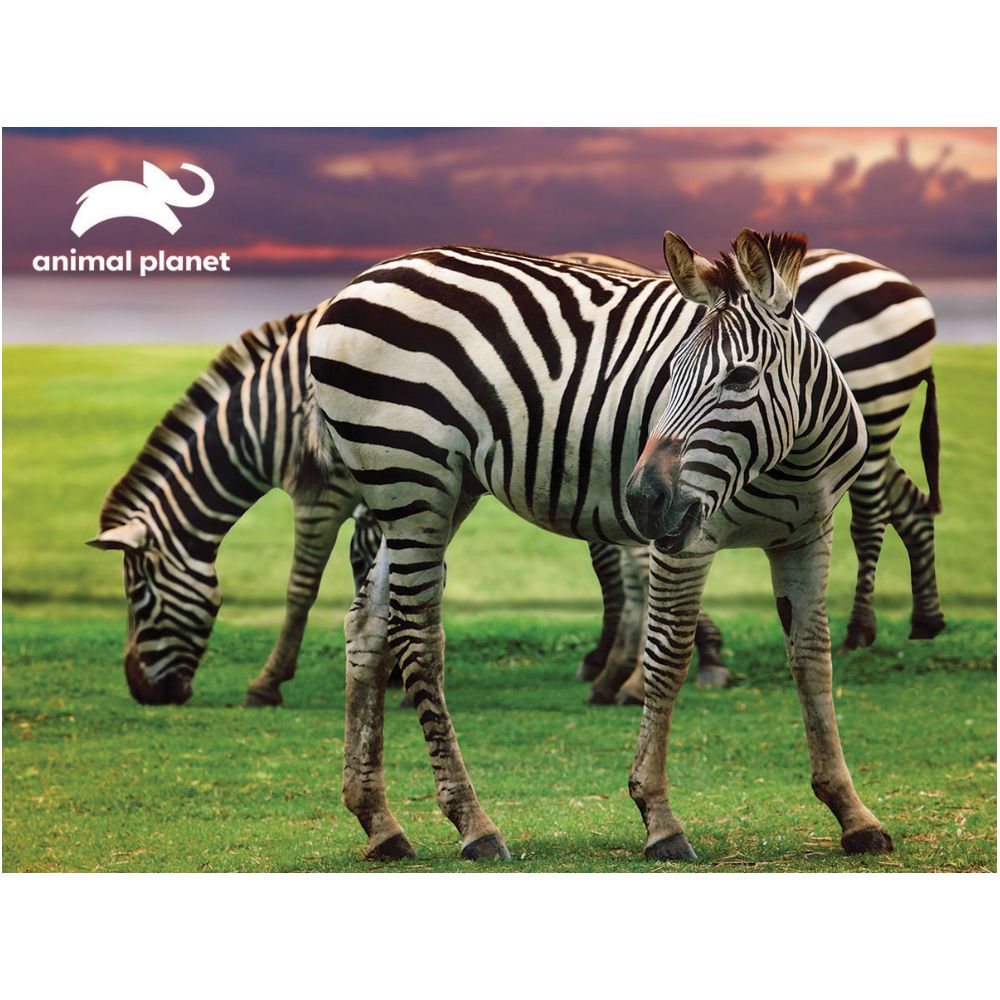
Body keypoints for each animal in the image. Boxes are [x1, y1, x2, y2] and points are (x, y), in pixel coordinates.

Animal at [307, 229, 893, 862]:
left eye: (740, 378)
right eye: (669, 372)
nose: (641, 499)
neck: (792, 458)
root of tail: (360, 281)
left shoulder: (808, 536)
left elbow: (812, 661)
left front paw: (851, 813)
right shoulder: (686, 540)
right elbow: (668, 657)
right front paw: (660, 818)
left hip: (436, 490)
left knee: (368, 624)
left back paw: (380, 822)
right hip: (412, 477)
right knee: (417, 637)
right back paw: (474, 825)